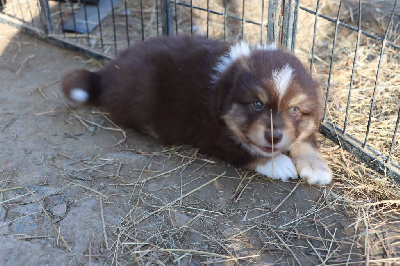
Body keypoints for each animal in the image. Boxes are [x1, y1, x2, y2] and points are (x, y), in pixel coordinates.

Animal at [61, 34, 332, 185]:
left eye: (295, 110)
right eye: (257, 104)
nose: (274, 137)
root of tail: (106, 73)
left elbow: (306, 139)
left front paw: (315, 167)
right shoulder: (209, 131)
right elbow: (242, 150)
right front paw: (279, 164)